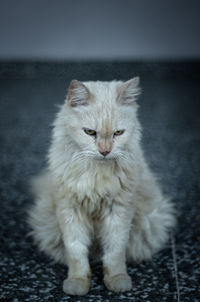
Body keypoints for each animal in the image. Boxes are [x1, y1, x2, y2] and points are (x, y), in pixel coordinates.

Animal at [28, 78, 175, 294]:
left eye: (118, 133)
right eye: (90, 132)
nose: (105, 151)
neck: (97, 174)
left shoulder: (119, 211)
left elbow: (115, 253)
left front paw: (117, 280)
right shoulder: (70, 211)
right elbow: (76, 252)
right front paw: (78, 282)